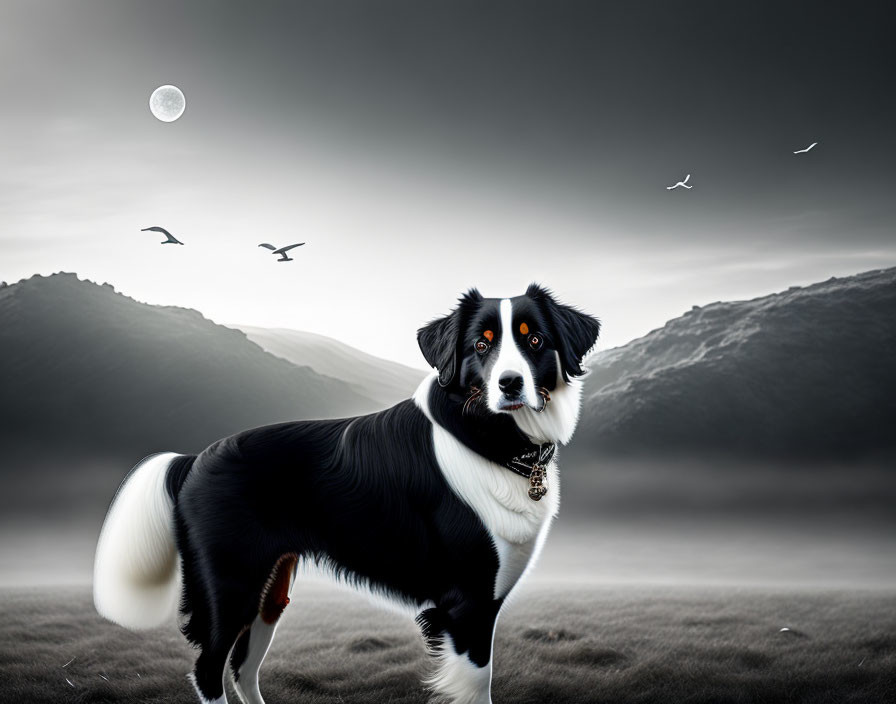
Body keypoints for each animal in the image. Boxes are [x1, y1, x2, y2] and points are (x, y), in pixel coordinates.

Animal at [94, 286, 600, 704]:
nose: (510, 384)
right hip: (231, 583)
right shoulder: (468, 606)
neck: (492, 439)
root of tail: (194, 458)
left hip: (270, 591)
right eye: (481, 345)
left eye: (536, 341)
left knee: (242, 668)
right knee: (208, 668)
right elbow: (478, 687)